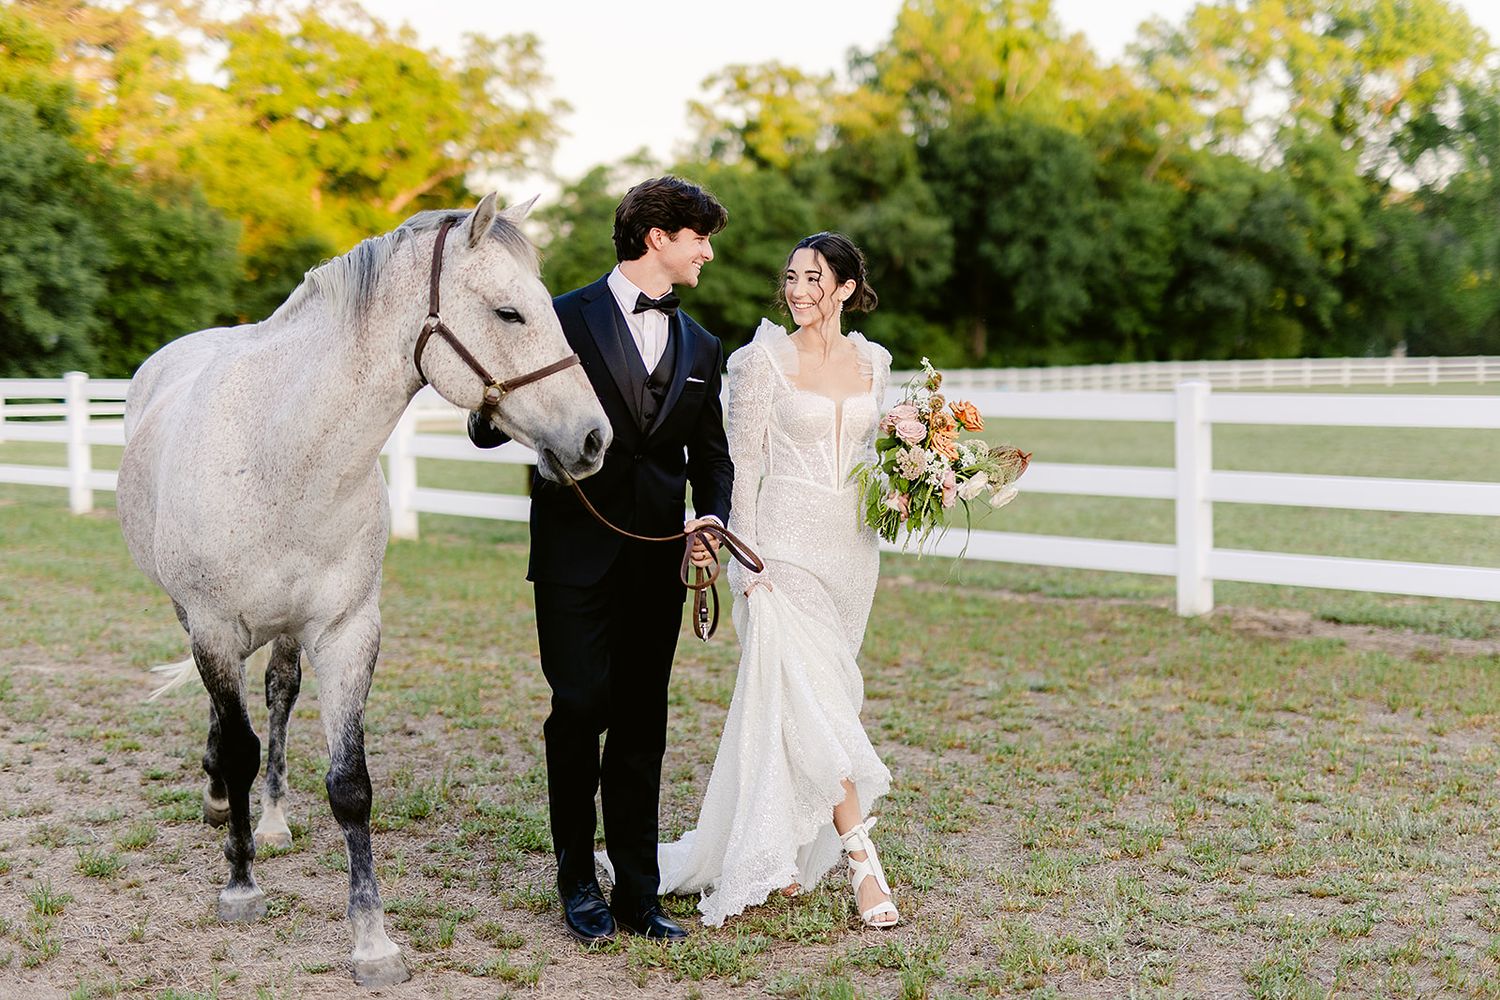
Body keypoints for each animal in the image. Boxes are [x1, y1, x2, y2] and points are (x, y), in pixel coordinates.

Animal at [116, 194, 610, 986]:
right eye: (508, 312)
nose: (594, 439)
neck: (280, 453)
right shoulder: (215, 627)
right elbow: (239, 747)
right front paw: (240, 884)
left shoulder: (347, 633)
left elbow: (349, 786)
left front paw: (372, 941)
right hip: (193, 617)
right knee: (230, 721)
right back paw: (224, 802)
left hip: (289, 632)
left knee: (278, 695)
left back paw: (271, 818)